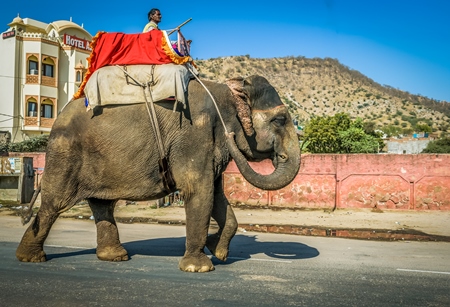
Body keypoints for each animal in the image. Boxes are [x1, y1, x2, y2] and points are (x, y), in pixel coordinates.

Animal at [15, 74, 300, 272]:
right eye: (279, 120)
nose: (282, 156)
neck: (227, 94)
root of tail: (58, 119)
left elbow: (217, 195)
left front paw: (217, 250)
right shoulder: (194, 135)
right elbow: (199, 190)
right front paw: (199, 267)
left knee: (102, 204)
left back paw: (115, 257)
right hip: (65, 157)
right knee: (54, 204)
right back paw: (30, 258)